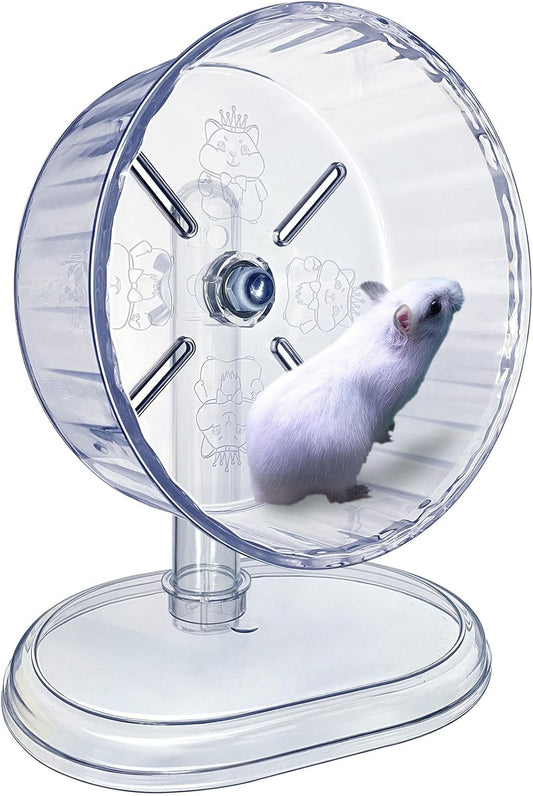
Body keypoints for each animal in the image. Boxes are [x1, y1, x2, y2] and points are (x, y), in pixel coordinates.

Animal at [246, 278, 464, 505]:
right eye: (434, 306)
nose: (458, 285)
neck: (382, 332)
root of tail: (263, 493)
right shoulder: (386, 411)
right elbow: (382, 430)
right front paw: (389, 436)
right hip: (343, 466)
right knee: (336, 496)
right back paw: (361, 492)